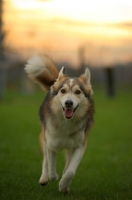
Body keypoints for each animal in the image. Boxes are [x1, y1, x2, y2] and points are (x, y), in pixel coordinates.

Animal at [24, 54, 94, 194]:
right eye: (63, 91)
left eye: (78, 92)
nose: (68, 103)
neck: (66, 123)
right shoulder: (51, 143)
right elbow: (50, 163)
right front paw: (53, 177)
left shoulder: (79, 146)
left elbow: (70, 171)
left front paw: (63, 185)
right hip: (43, 137)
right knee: (45, 160)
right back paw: (44, 178)